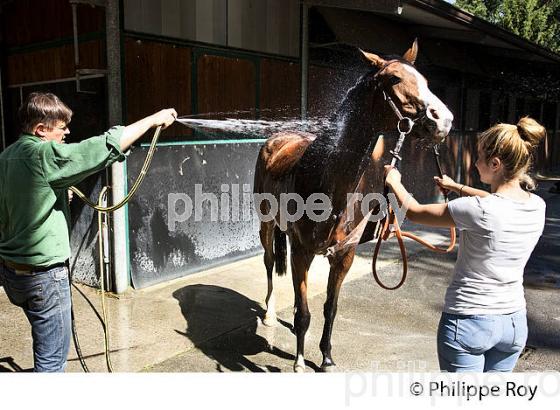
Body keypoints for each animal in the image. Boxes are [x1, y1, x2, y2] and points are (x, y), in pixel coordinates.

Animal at [254, 40, 456, 372]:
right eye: (395, 79)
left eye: (425, 80)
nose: (444, 120)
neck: (327, 181)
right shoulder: (302, 252)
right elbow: (305, 312)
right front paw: (299, 362)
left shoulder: (344, 256)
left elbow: (330, 308)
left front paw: (326, 357)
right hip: (266, 225)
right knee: (269, 263)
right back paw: (270, 314)